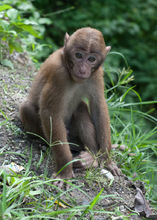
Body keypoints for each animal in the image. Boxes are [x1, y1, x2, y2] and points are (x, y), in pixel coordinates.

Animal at [19, 26, 120, 186]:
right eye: (78, 55)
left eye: (91, 59)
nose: (83, 69)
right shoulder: (58, 73)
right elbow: (50, 113)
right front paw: (64, 170)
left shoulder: (97, 73)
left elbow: (98, 107)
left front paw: (106, 159)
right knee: (26, 109)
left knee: (81, 108)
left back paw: (91, 157)